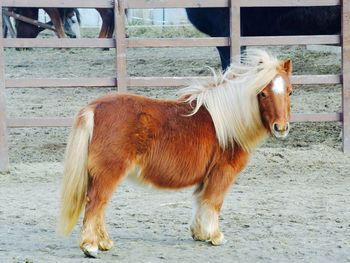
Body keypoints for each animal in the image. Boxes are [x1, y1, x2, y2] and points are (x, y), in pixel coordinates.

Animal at [59, 49, 292, 258]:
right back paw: (90, 247)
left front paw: (199, 234)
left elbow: (200, 201)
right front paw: (215, 236)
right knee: (95, 204)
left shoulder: (206, 176)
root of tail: (94, 107)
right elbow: (214, 202)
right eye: (262, 93)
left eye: (290, 91)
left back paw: (104, 243)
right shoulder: (222, 172)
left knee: (100, 206)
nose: (281, 128)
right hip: (108, 173)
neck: (226, 122)